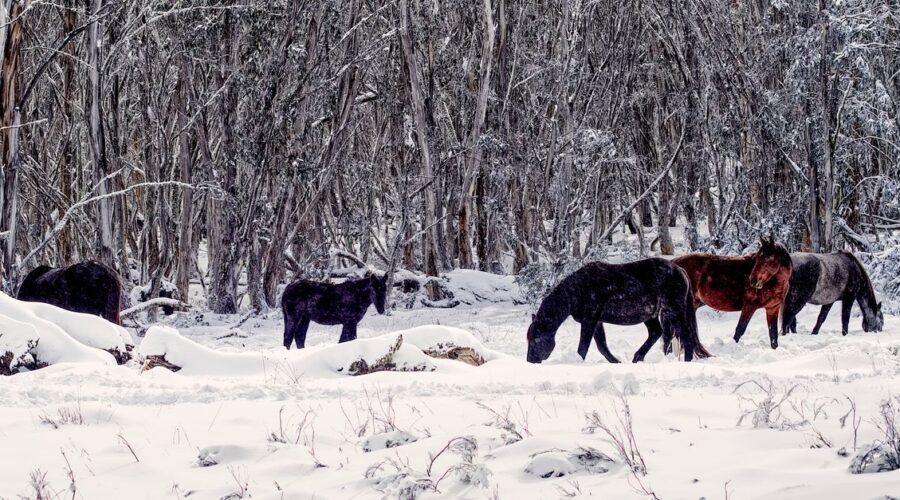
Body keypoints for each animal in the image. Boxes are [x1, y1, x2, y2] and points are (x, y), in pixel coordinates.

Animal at [525, 258, 710, 364]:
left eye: (536, 339)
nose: (530, 360)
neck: (577, 291)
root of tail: (681, 271)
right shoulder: (597, 322)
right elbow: (602, 346)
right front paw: (616, 361)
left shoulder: (589, 320)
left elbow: (583, 347)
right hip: (651, 315)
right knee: (656, 333)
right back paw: (638, 357)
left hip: (674, 310)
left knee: (686, 336)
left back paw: (686, 361)